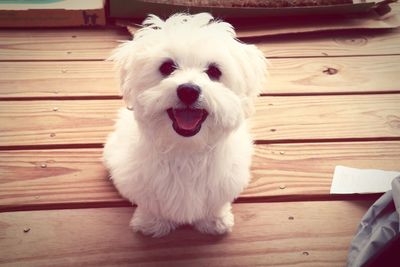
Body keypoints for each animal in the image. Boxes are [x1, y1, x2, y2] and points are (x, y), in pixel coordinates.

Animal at [103, 13, 268, 238]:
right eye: (166, 67)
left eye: (214, 71)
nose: (188, 90)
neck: (186, 149)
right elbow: (151, 204)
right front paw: (151, 222)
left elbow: (215, 204)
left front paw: (215, 221)